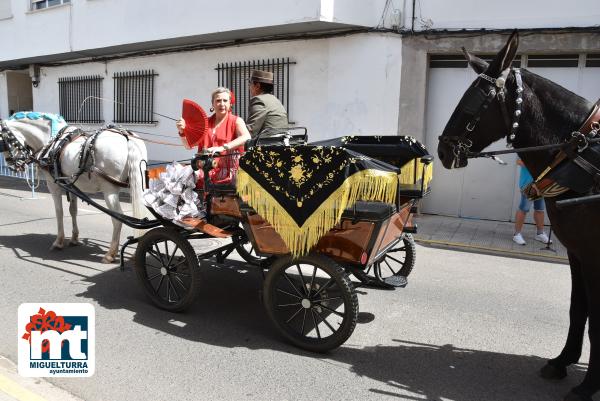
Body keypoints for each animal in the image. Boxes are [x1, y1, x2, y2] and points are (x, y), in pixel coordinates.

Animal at [0, 112, 148, 262]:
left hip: (109, 190)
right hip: (139, 185)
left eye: (2, 141)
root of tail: (127, 138)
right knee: (141, 214)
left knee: (117, 218)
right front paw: (74, 238)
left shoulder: (53, 185)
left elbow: (59, 212)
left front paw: (59, 241)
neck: (53, 143)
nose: (11, 165)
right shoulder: (71, 186)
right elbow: (73, 210)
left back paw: (110, 254)